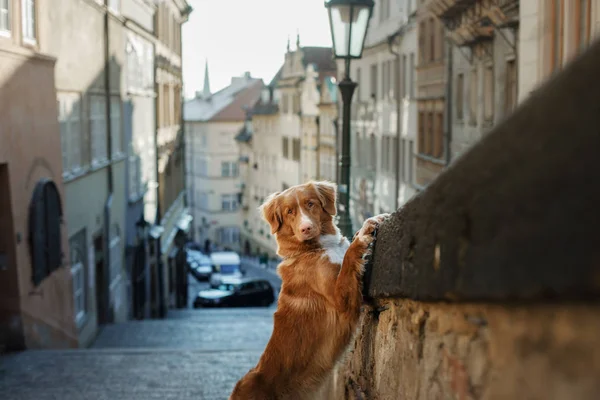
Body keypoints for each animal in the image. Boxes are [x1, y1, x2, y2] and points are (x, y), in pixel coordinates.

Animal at [230, 182, 390, 400]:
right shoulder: (341, 301)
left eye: (310, 203)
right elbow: (350, 258)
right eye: (289, 212)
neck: (312, 249)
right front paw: (364, 233)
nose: (305, 228)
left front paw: (372, 221)